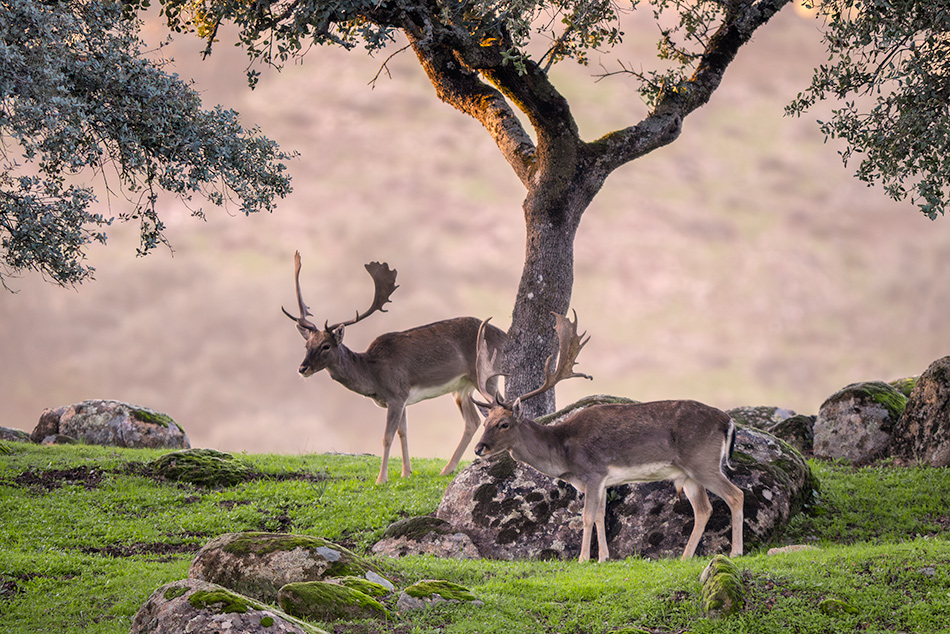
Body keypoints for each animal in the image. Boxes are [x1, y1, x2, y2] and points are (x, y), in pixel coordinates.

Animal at [282, 252, 506, 484]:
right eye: (307, 345)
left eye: (326, 346)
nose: (302, 368)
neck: (373, 377)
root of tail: (504, 334)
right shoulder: (403, 398)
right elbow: (403, 432)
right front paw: (406, 472)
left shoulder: (396, 395)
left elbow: (387, 437)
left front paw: (381, 478)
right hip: (462, 387)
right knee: (472, 421)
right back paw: (447, 468)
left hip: (486, 376)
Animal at [472, 310, 748, 556]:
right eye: (485, 422)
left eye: (504, 423)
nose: (478, 448)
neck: (564, 452)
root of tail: (727, 421)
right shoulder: (604, 481)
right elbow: (600, 517)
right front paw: (604, 557)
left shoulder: (594, 472)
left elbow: (586, 517)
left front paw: (583, 559)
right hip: (688, 474)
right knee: (704, 509)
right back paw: (685, 556)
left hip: (702, 461)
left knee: (736, 495)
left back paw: (735, 552)